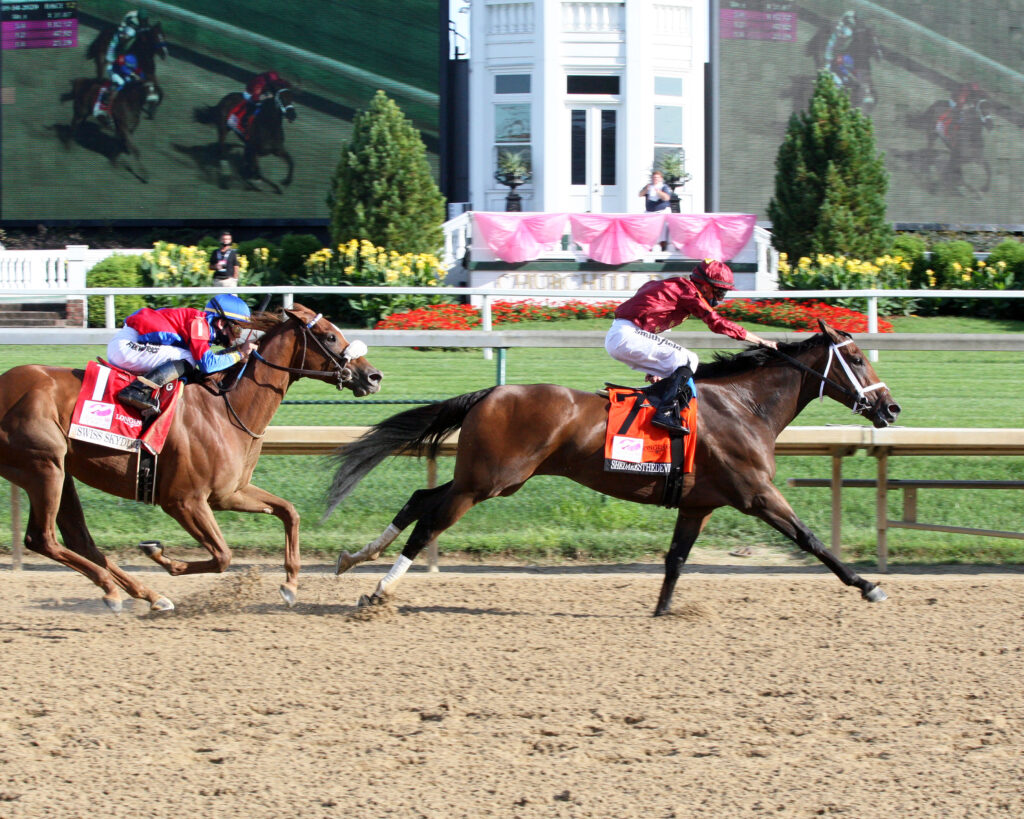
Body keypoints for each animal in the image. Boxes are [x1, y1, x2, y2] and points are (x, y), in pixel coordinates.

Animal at [0, 303, 380, 610]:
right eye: (329, 336)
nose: (373, 376)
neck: (226, 408)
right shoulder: (183, 500)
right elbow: (223, 555)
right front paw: (161, 556)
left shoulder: (229, 493)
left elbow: (289, 512)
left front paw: (290, 585)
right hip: (43, 466)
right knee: (42, 538)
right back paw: (113, 589)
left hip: (61, 471)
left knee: (78, 538)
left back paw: (146, 595)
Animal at [331, 319, 901, 614]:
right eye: (856, 357)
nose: (891, 408)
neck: (745, 406)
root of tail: (489, 393)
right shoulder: (756, 494)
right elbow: (811, 539)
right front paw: (868, 585)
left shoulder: (698, 504)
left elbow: (675, 558)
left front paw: (663, 609)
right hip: (488, 482)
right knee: (430, 521)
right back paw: (380, 589)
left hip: (484, 477)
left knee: (419, 500)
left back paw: (355, 558)